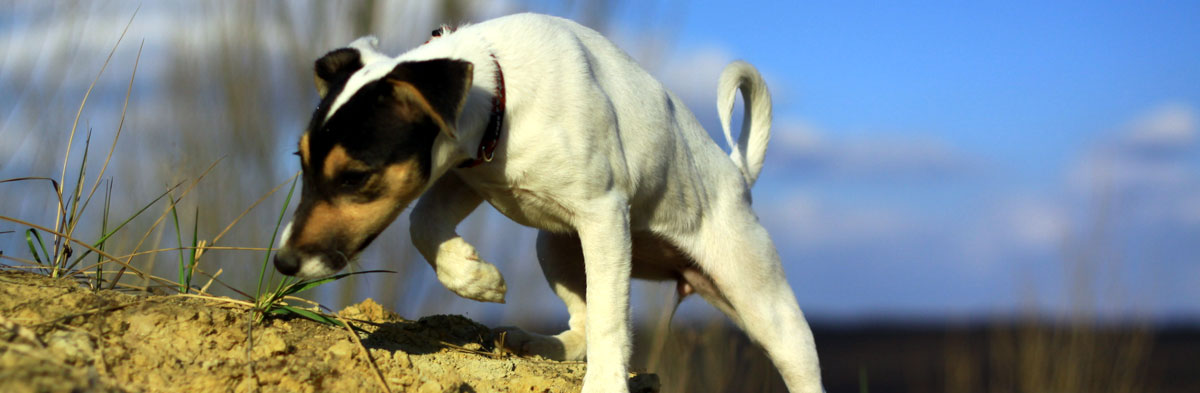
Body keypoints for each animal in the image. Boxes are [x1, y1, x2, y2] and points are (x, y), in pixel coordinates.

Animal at [272, 12, 820, 393]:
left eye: (356, 176)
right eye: (300, 161)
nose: (282, 262)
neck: (499, 92)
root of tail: (738, 176)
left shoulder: (603, 214)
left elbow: (612, 320)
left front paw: (606, 386)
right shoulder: (468, 178)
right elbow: (422, 225)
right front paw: (475, 277)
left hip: (764, 303)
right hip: (555, 248)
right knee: (581, 322)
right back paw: (543, 343)